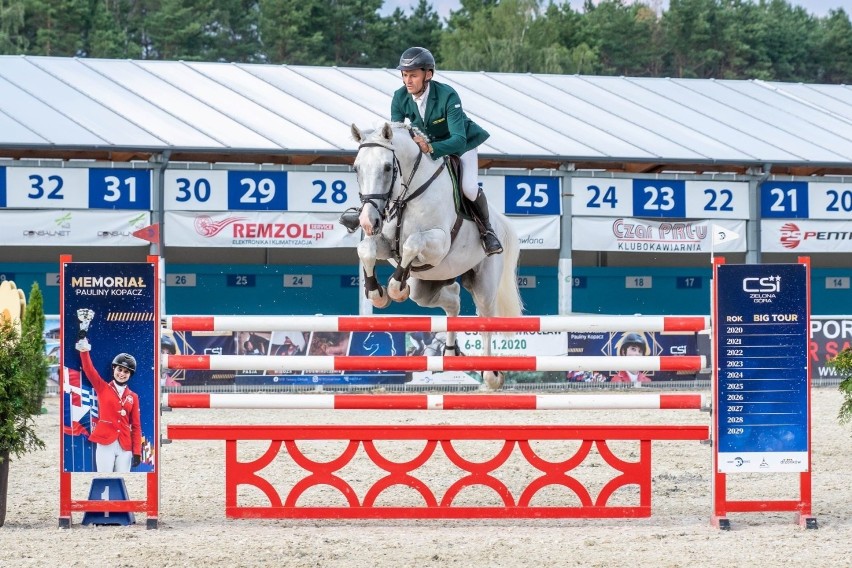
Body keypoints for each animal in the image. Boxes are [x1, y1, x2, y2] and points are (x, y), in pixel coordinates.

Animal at [350, 121, 524, 388]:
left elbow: (412, 243)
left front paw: (395, 288)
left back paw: (491, 374)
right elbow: (366, 249)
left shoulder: (439, 244)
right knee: (453, 300)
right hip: (427, 286)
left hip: (484, 282)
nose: (368, 222)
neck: (409, 194)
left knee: (485, 317)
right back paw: (451, 353)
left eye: (387, 167)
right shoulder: (388, 245)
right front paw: (377, 293)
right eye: (357, 168)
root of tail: (499, 221)